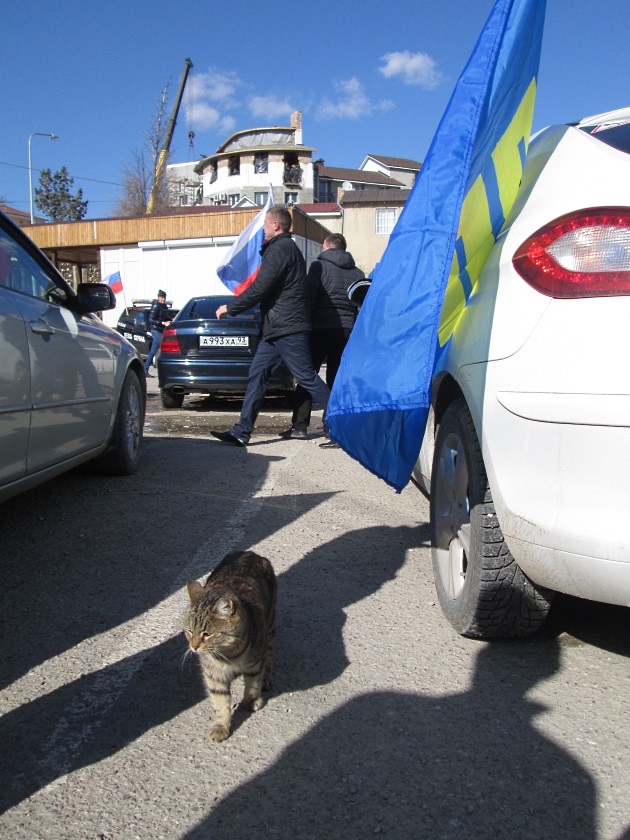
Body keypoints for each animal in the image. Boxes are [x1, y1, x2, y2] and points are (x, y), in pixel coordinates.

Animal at [185, 552, 278, 740]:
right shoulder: (214, 674)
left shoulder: (254, 665)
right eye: (190, 631)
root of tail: (251, 553)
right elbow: (220, 702)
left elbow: (252, 685)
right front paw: (221, 726)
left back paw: (266, 678)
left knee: (269, 656)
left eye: (207, 634)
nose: (194, 647)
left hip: (270, 628)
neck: (228, 655)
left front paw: (250, 702)